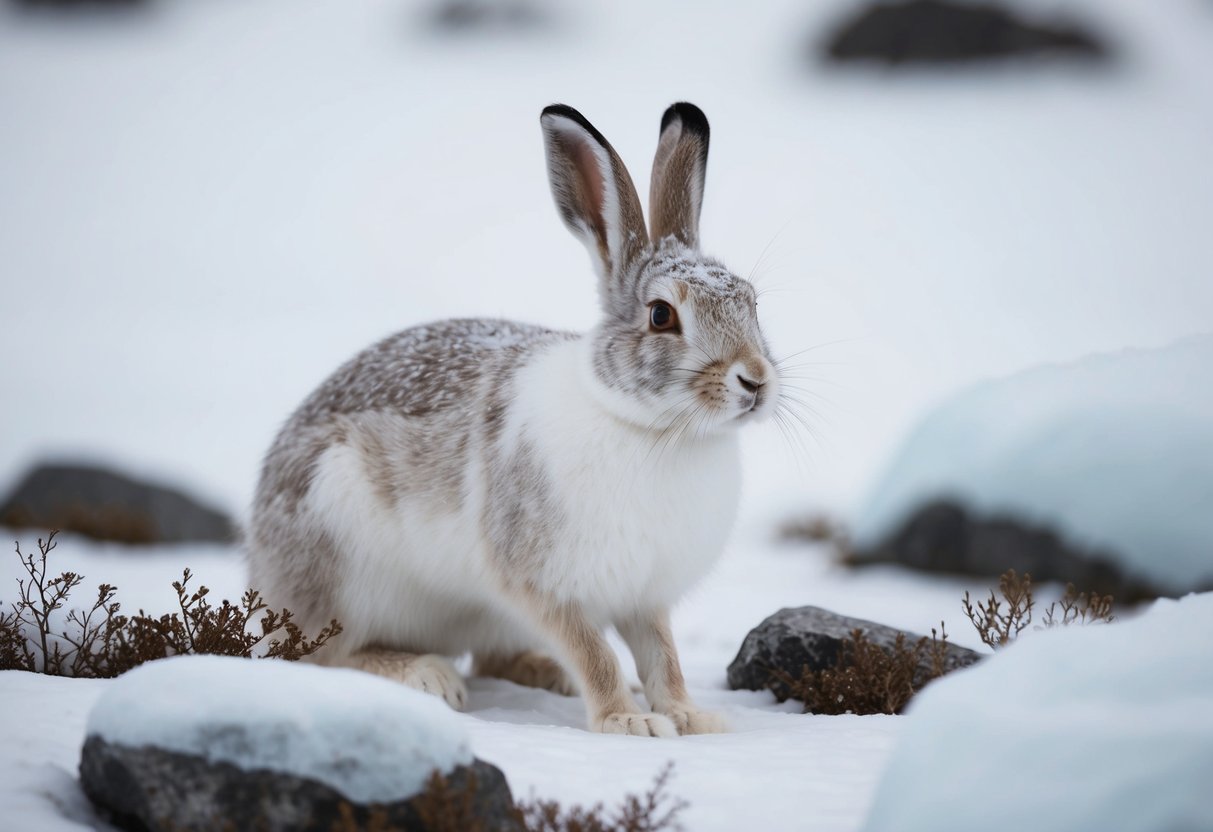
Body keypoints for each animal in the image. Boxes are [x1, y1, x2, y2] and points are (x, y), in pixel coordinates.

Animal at [246, 102, 781, 737]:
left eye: (751, 302)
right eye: (660, 315)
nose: (756, 381)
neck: (651, 427)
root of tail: (259, 574)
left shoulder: (643, 597)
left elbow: (662, 657)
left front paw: (690, 717)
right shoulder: (541, 584)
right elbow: (594, 653)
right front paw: (629, 723)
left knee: (491, 657)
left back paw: (542, 673)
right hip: (341, 557)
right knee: (328, 656)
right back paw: (427, 676)